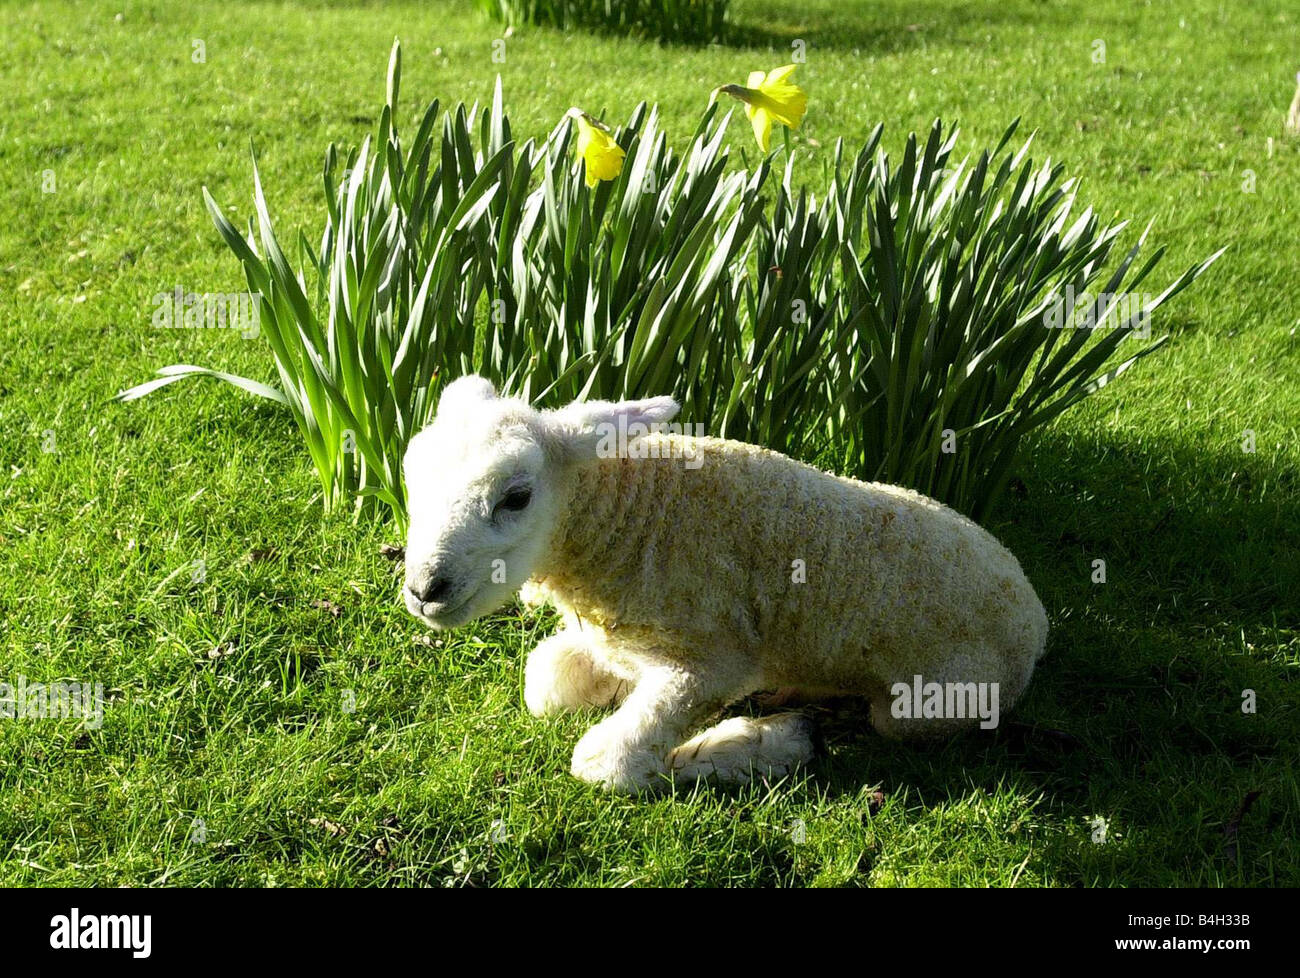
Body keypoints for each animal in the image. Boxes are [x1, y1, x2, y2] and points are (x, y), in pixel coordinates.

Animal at [400, 374, 1050, 795]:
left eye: (517, 497)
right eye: (412, 475)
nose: (425, 588)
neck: (630, 515)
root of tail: (1034, 614)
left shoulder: (714, 661)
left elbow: (607, 764)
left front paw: (754, 746)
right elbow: (546, 681)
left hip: (935, 701)